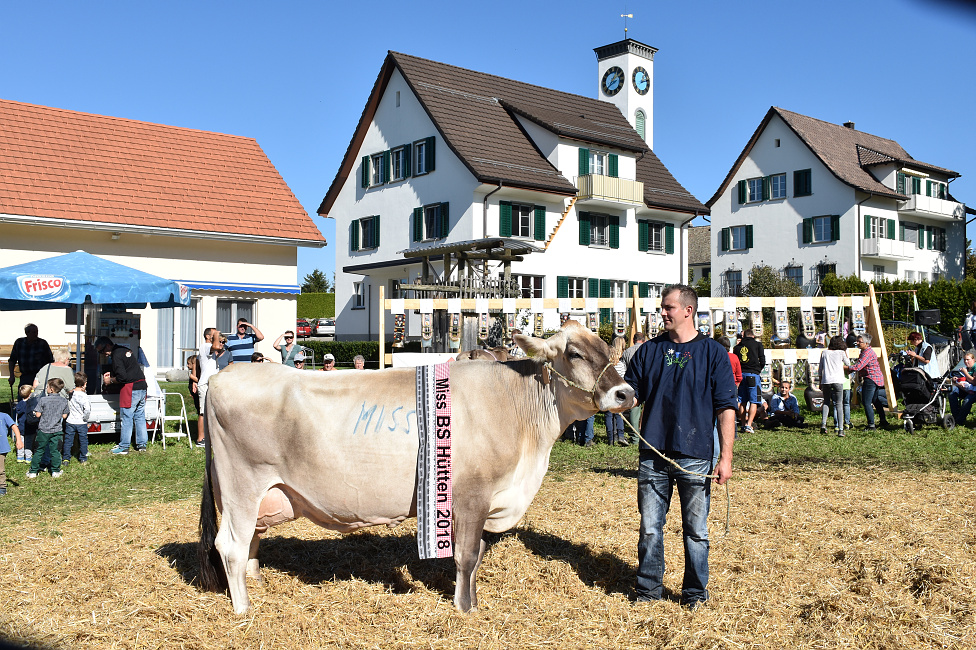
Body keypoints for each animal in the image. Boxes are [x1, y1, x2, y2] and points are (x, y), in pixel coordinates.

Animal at [202, 318, 636, 612]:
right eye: (574, 353)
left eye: (608, 349)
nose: (626, 393)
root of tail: (228, 374)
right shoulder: (472, 494)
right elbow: (467, 555)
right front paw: (466, 608)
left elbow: (475, 552)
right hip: (242, 485)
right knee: (230, 545)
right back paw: (244, 610)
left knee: (251, 541)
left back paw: (256, 584)